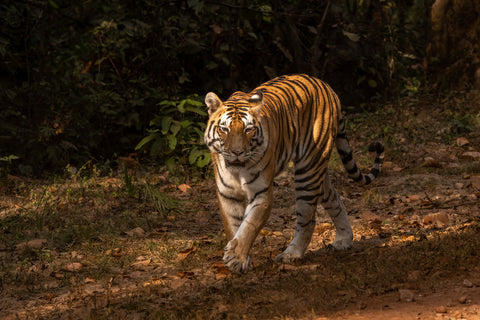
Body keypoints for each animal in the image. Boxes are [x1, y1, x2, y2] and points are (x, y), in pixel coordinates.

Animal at [204, 74, 384, 272]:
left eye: (248, 130)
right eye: (224, 129)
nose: (237, 152)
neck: (238, 172)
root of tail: (327, 87)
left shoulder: (262, 193)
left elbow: (250, 225)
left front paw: (236, 258)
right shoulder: (227, 194)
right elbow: (233, 227)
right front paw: (238, 258)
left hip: (308, 169)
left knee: (308, 220)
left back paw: (291, 254)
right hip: (318, 172)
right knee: (334, 198)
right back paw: (344, 240)